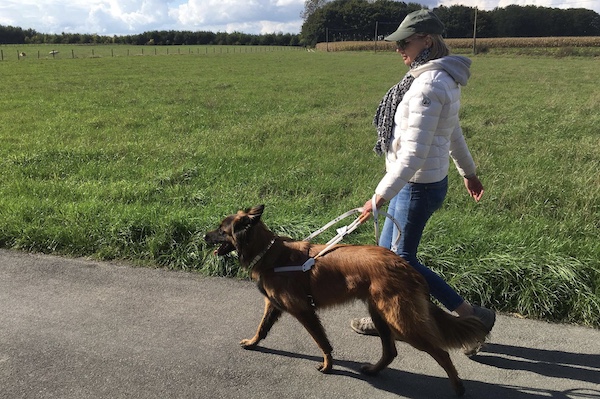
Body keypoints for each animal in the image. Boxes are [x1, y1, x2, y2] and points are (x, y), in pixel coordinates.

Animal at [204, 206, 490, 396]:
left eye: (222, 230)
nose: (204, 236)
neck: (271, 254)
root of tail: (406, 266)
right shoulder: (274, 305)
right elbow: (262, 328)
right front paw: (253, 343)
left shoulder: (304, 312)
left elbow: (322, 342)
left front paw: (328, 365)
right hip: (380, 315)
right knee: (390, 351)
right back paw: (374, 371)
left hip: (400, 321)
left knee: (441, 352)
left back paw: (458, 387)